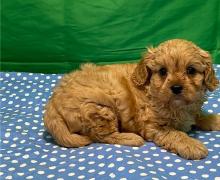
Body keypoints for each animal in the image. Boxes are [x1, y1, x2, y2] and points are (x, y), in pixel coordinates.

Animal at [43, 39, 219, 159]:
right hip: (100, 109)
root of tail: (52, 103)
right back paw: (132, 138)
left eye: (191, 70)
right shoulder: (153, 126)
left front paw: (215, 120)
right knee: (103, 136)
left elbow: (200, 116)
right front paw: (191, 145)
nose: (176, 88)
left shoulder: (192, 109)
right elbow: (175, 133)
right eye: (162, 71)